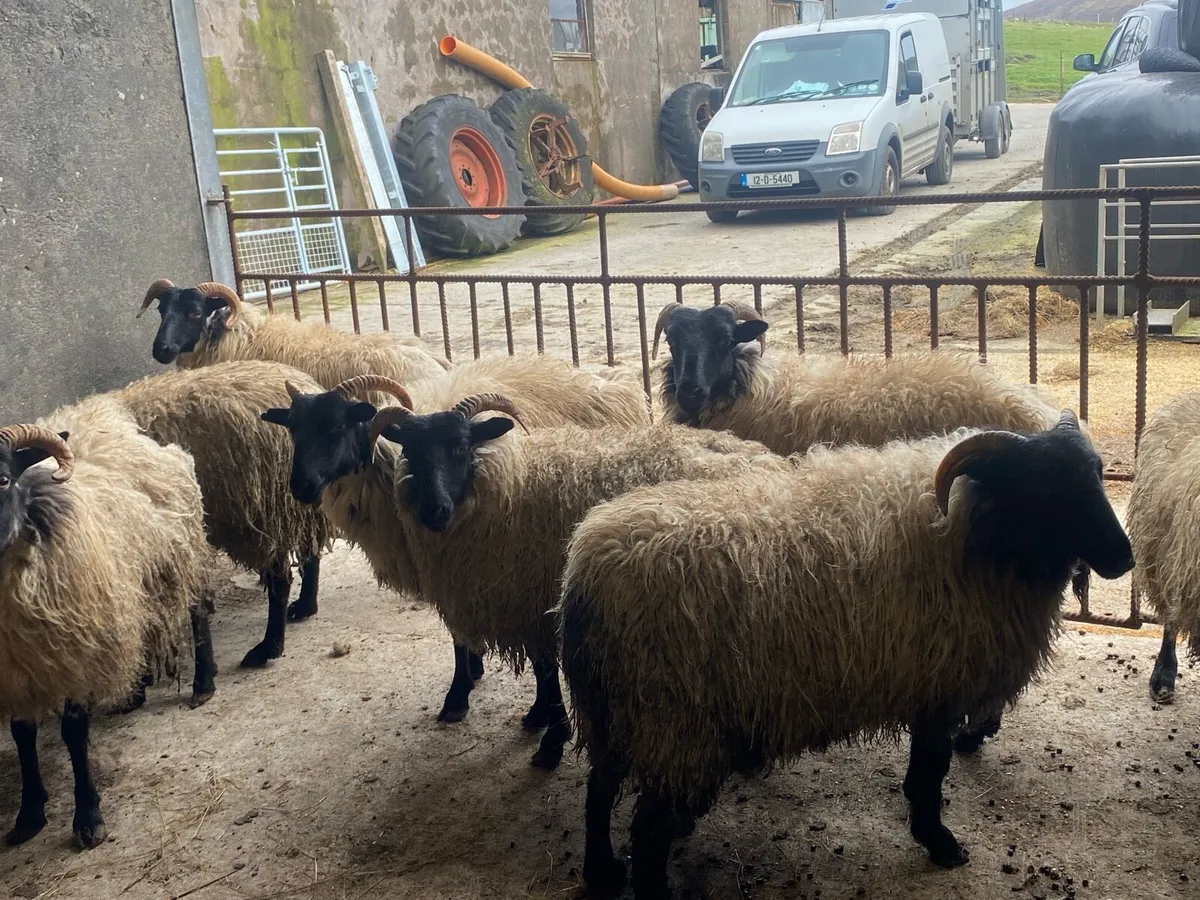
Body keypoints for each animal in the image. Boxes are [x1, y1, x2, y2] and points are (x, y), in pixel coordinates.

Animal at [0, 408, 210, 849]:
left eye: (3, 479)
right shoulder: (15, 668)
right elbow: (22, 736)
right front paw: (28, 815)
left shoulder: (78, 650)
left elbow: (73, 733)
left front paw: (88, 818)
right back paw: (135, 691)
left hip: (179, 557)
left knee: (199, 611)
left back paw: (204, 684)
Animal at [103, 361, 332, 667]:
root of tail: (307, 386)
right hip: (293, 502)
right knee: (311, 548)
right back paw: (305, 607)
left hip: (258, 510)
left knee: (280, 578)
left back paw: (268, 647)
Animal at [262, 352, 651, 713]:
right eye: (293, 428)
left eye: (338, 425)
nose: (301, 486)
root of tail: (613, 379)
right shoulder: (445, 559)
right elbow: (457, 629)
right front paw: (468, 678)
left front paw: (464, 693)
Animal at [558, 411, 1133, 898]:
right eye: (1047, 488)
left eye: (1097, 475)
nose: (1123, 558)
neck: (970, 533)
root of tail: (585, 573)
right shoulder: (939, 683)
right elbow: (932, 770)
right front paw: (938, 841)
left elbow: (925, 769)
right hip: (671, 719)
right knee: (647, 828)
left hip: (615, 710)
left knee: (598, 791)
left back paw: (602, 870)